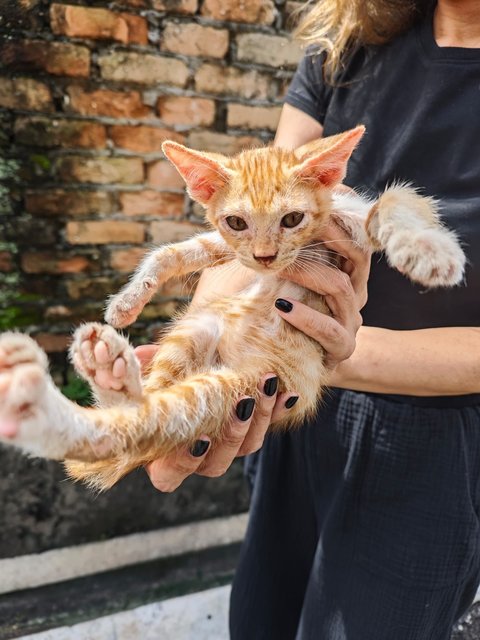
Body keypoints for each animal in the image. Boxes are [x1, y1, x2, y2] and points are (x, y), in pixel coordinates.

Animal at [0, 126, 464, 490]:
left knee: (135, 428)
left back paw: (64, 392)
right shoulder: (226, 245)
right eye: (237, 222)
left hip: (234, 389)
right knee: (139, 415)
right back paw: (99, 374)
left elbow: (396, 202)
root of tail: (233, 362)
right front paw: (128, 300)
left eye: (292, 219)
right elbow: (174, 252)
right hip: (195, 337)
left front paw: (429, 250)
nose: (264, 257)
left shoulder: (350, 221)